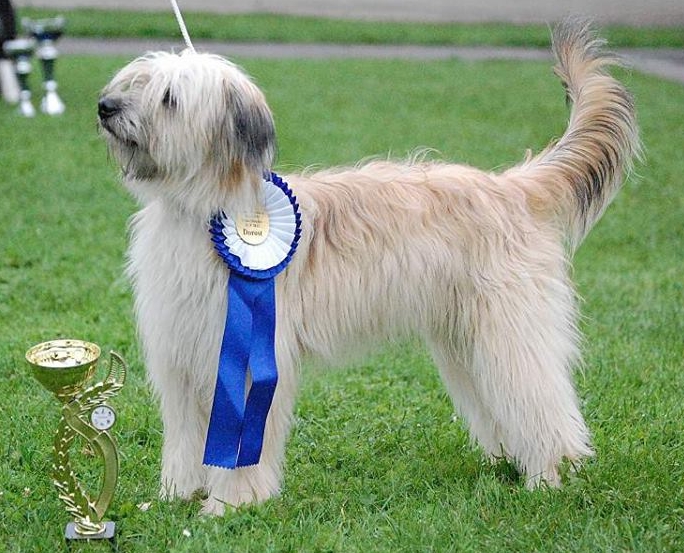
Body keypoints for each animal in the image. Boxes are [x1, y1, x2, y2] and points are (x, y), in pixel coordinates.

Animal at [97, 20, 640, 512]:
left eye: (169, 98)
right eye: (134, 82)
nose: (105, 107)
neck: (206, 207)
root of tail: (513, 186)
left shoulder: (248, 357)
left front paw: (231, 504)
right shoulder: (184, 353)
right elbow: (186, 436)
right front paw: (177, 497)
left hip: (508, 329)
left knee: (540, 399)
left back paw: (548, 476)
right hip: (465, 339)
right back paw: (513, 462)